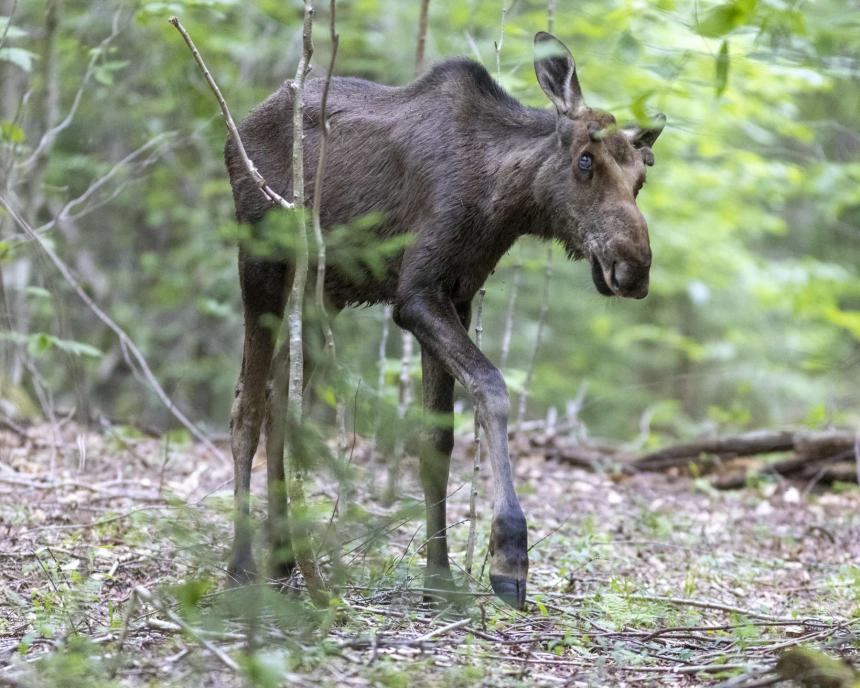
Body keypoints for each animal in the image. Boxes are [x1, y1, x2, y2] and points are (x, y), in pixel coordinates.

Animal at [223, 35, 664, 612]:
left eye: (641, 177)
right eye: (585, 161)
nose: (633, 267)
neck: (502, 203)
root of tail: (238, 130)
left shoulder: (457, 294)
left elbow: (437, 441)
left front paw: (438, 576)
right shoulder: (415, 294)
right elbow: (492, 388)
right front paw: (509, 556)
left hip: (322, 293)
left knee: (282, 403)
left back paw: (283, 561)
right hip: (262, 264)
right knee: (247, 410)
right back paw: (240, 565)